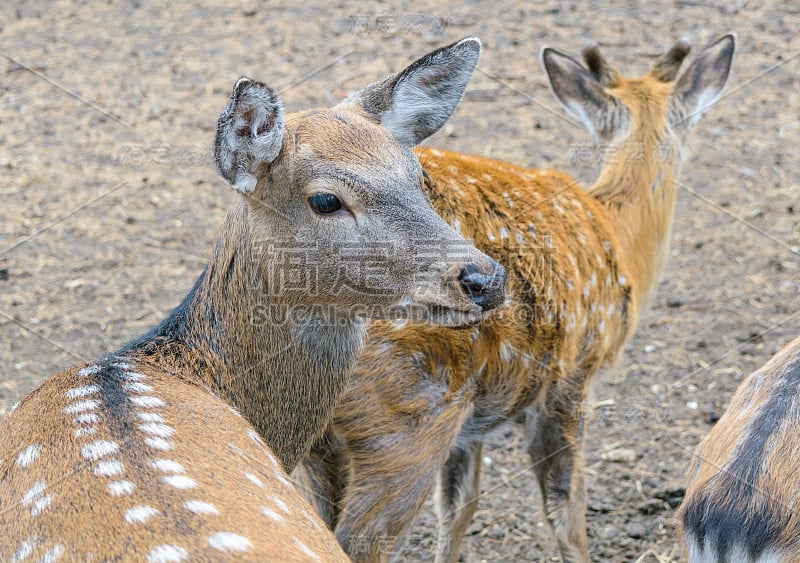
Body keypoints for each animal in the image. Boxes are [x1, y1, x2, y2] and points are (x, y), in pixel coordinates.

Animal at [296, 33, 736, 560]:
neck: (615, 232)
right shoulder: (571, 378)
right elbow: (565, 511)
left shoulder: (472, 421)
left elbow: (460, 506)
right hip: (408, 420)